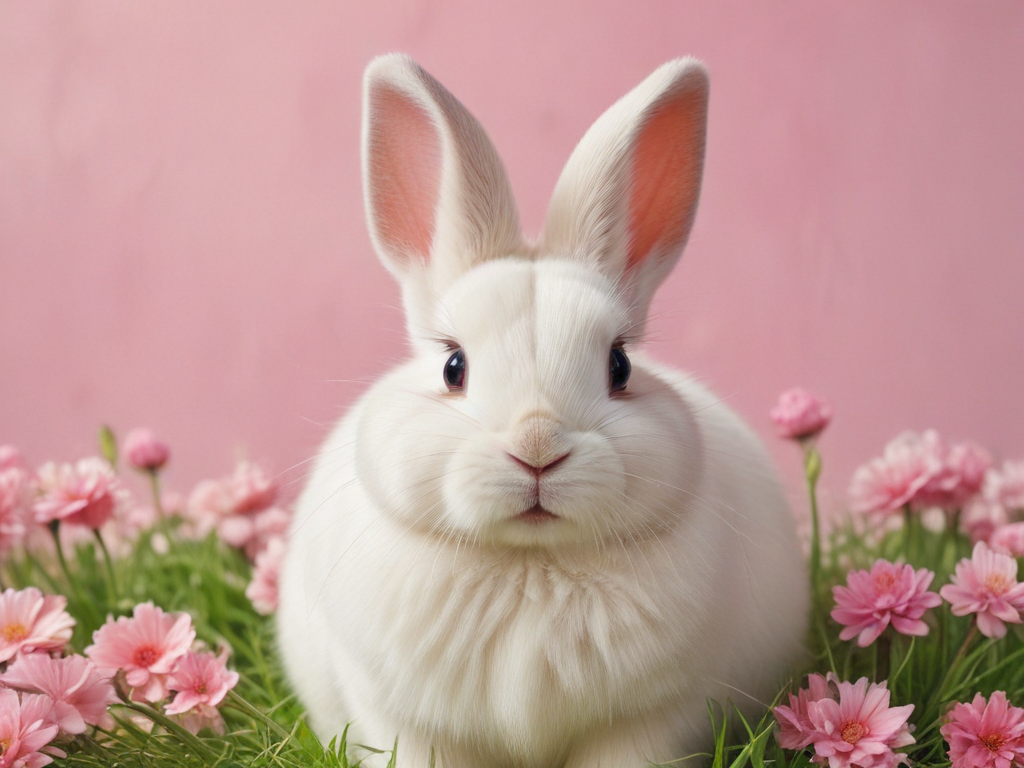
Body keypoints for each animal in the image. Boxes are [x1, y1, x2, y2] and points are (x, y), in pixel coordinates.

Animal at [277, 53, 809, 768]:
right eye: (453, 366)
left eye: (620, 366)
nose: (536, 448)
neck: (531, 565)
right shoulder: (405, 722)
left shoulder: (650, 721)